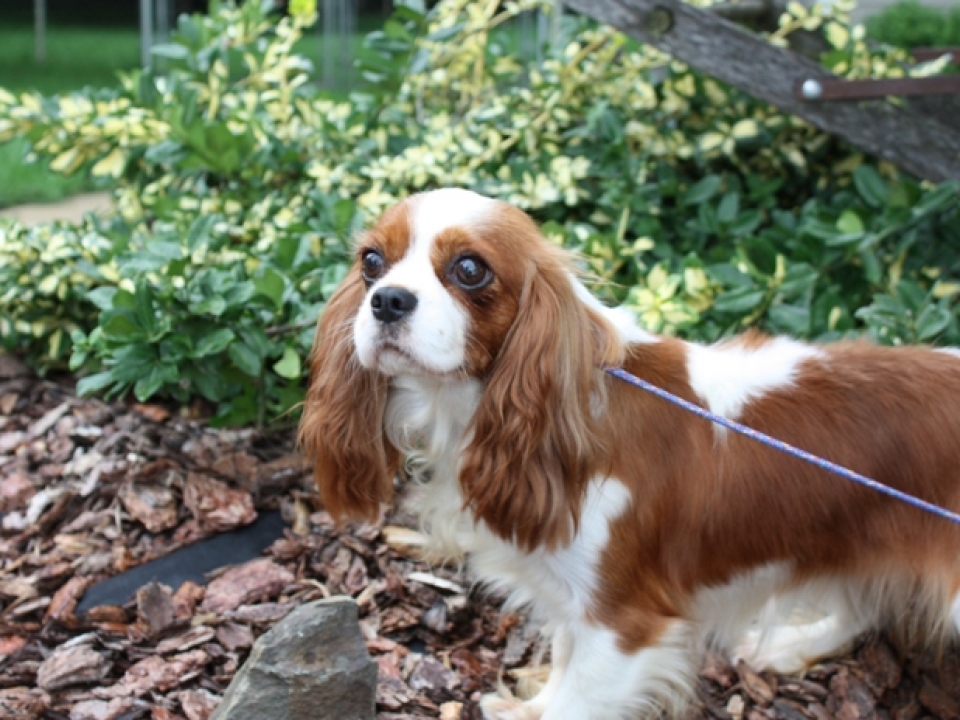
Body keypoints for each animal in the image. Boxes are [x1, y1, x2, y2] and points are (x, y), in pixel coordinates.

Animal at [298, 190, 960, 720]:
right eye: (371, 262)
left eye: (469, 269)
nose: (387, 300)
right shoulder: (578, 605)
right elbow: (563, 668)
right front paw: (528, 707)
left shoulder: (623, 620)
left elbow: (576, 702)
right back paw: (789, 646)